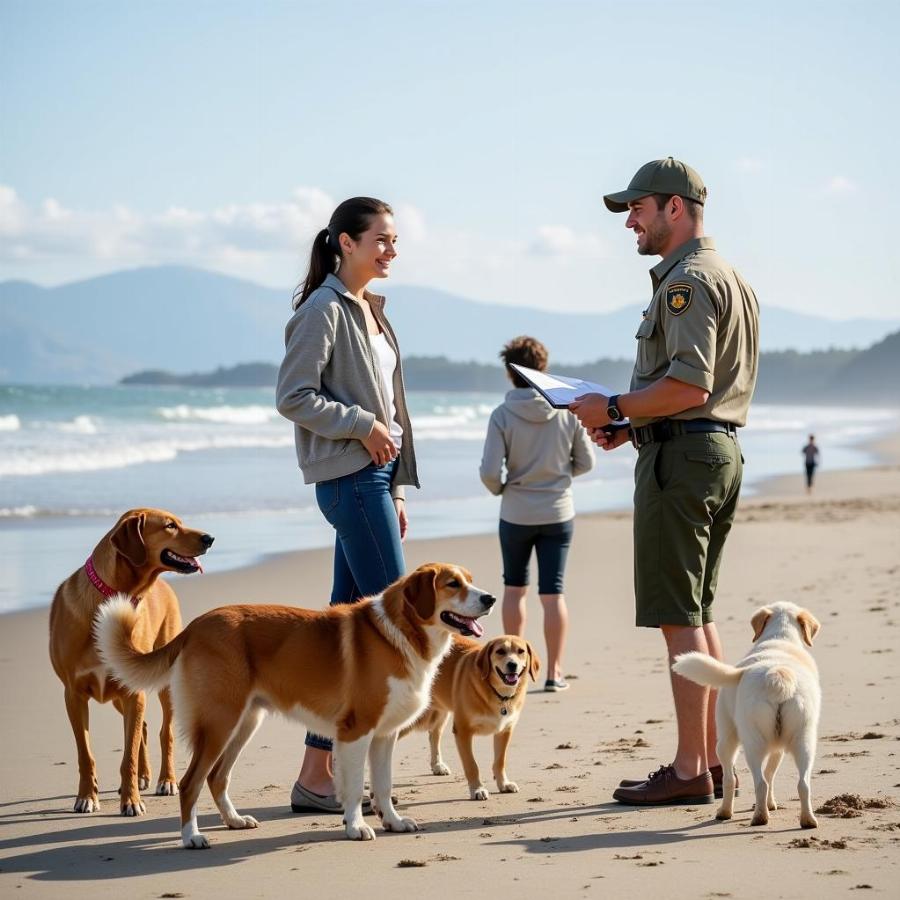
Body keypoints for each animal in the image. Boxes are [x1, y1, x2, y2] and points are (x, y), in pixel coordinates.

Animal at [49, 510, 213, 820]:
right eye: (170, 526)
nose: (210, 538)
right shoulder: (73, 695)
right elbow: (85, 754)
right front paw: (87, 797)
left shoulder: (132, 693)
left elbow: (128, 756)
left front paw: (131, 801)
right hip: (120, 695)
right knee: (145, 728)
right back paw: (144, 776)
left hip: (161, 684)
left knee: (164, 733)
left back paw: (166, 780)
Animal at [96, 560, 500, 848]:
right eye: (452, 584)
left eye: (469, 579)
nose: (490, 599)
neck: (399, 633)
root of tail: (194, 627)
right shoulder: (356, 732)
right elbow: (356, 786)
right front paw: (356, 826)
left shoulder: (384, 737)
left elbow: (383, 786)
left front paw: (393, 821)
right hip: (219, 723)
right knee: (191, 781)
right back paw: (191, 837)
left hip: (244, 723)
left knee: (216, 777)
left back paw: (234, 821)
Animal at [672, 604, 820, 828]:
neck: (781, 639)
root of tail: (778, 675)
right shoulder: (778, 749)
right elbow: (771, 772)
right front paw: (772, 804)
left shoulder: (727, 739)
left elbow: (729, 780)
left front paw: (725, 812)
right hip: (804, 740)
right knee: (801, 784)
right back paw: (807, 820)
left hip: (748, 743)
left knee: (758, 782)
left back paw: (757, 817)